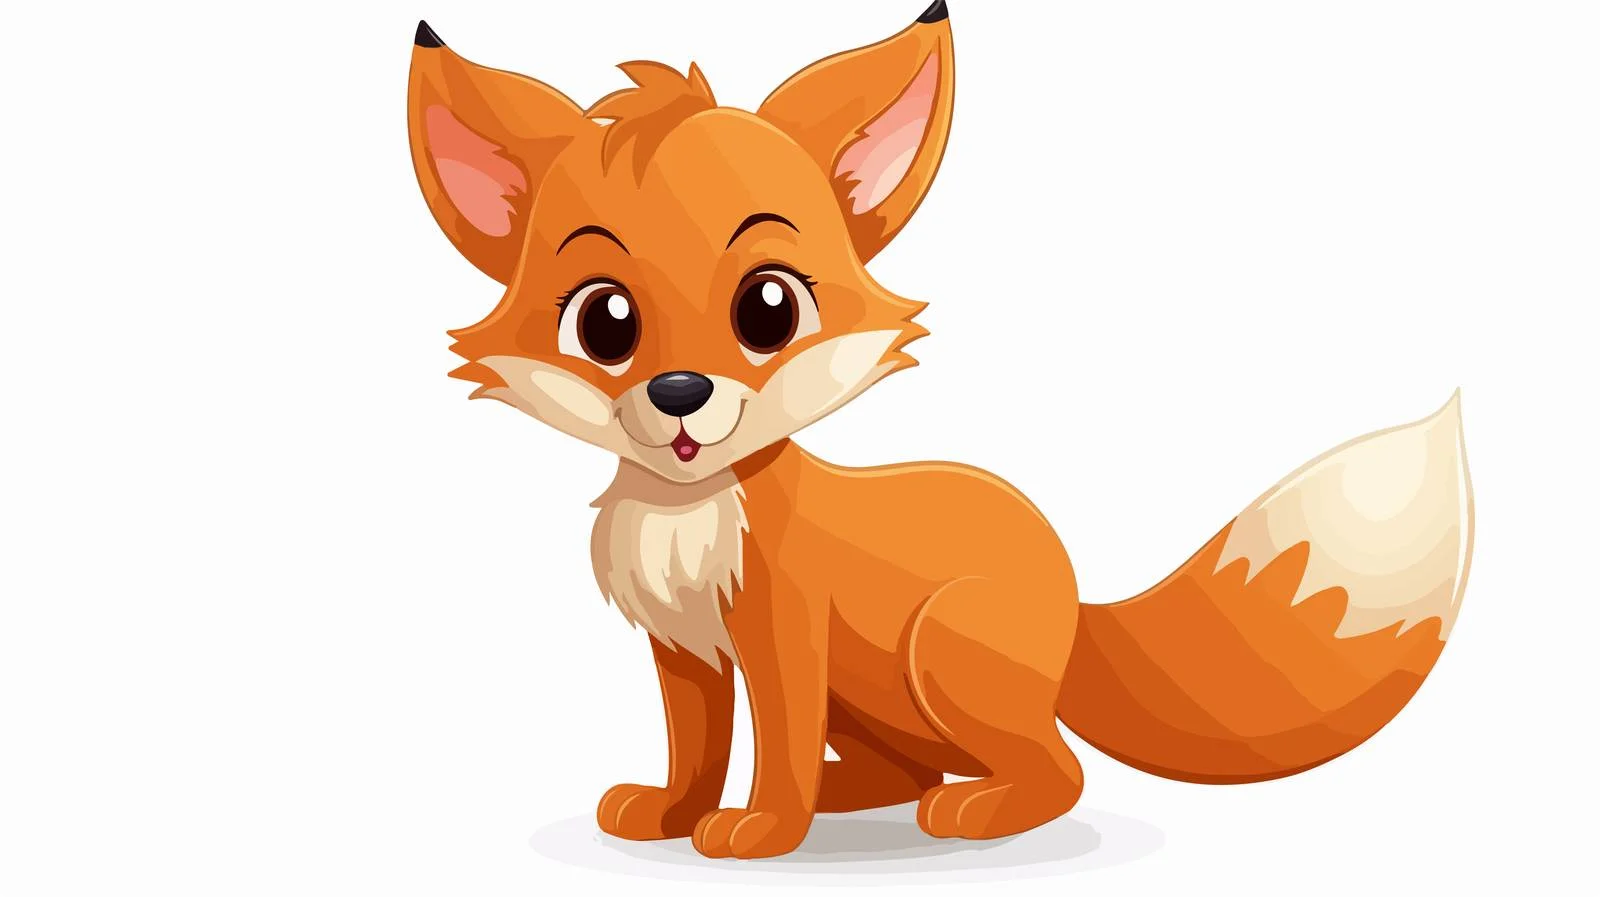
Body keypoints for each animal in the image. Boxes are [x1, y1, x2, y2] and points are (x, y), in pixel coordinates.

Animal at [406, 3, 1474, 861]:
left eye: (768, 309)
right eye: (605, 323)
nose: (679, 391)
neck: (693, 517)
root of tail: (1072, 598)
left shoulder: (783, 636)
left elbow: (776, 747)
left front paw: (762, 829)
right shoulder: (688, 649)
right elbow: (696, 747)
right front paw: (677, 811)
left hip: (942, 651)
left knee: (1056, 772)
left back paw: (974, 809)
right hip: (880, 699)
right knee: (914, 771)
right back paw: (866, 796)